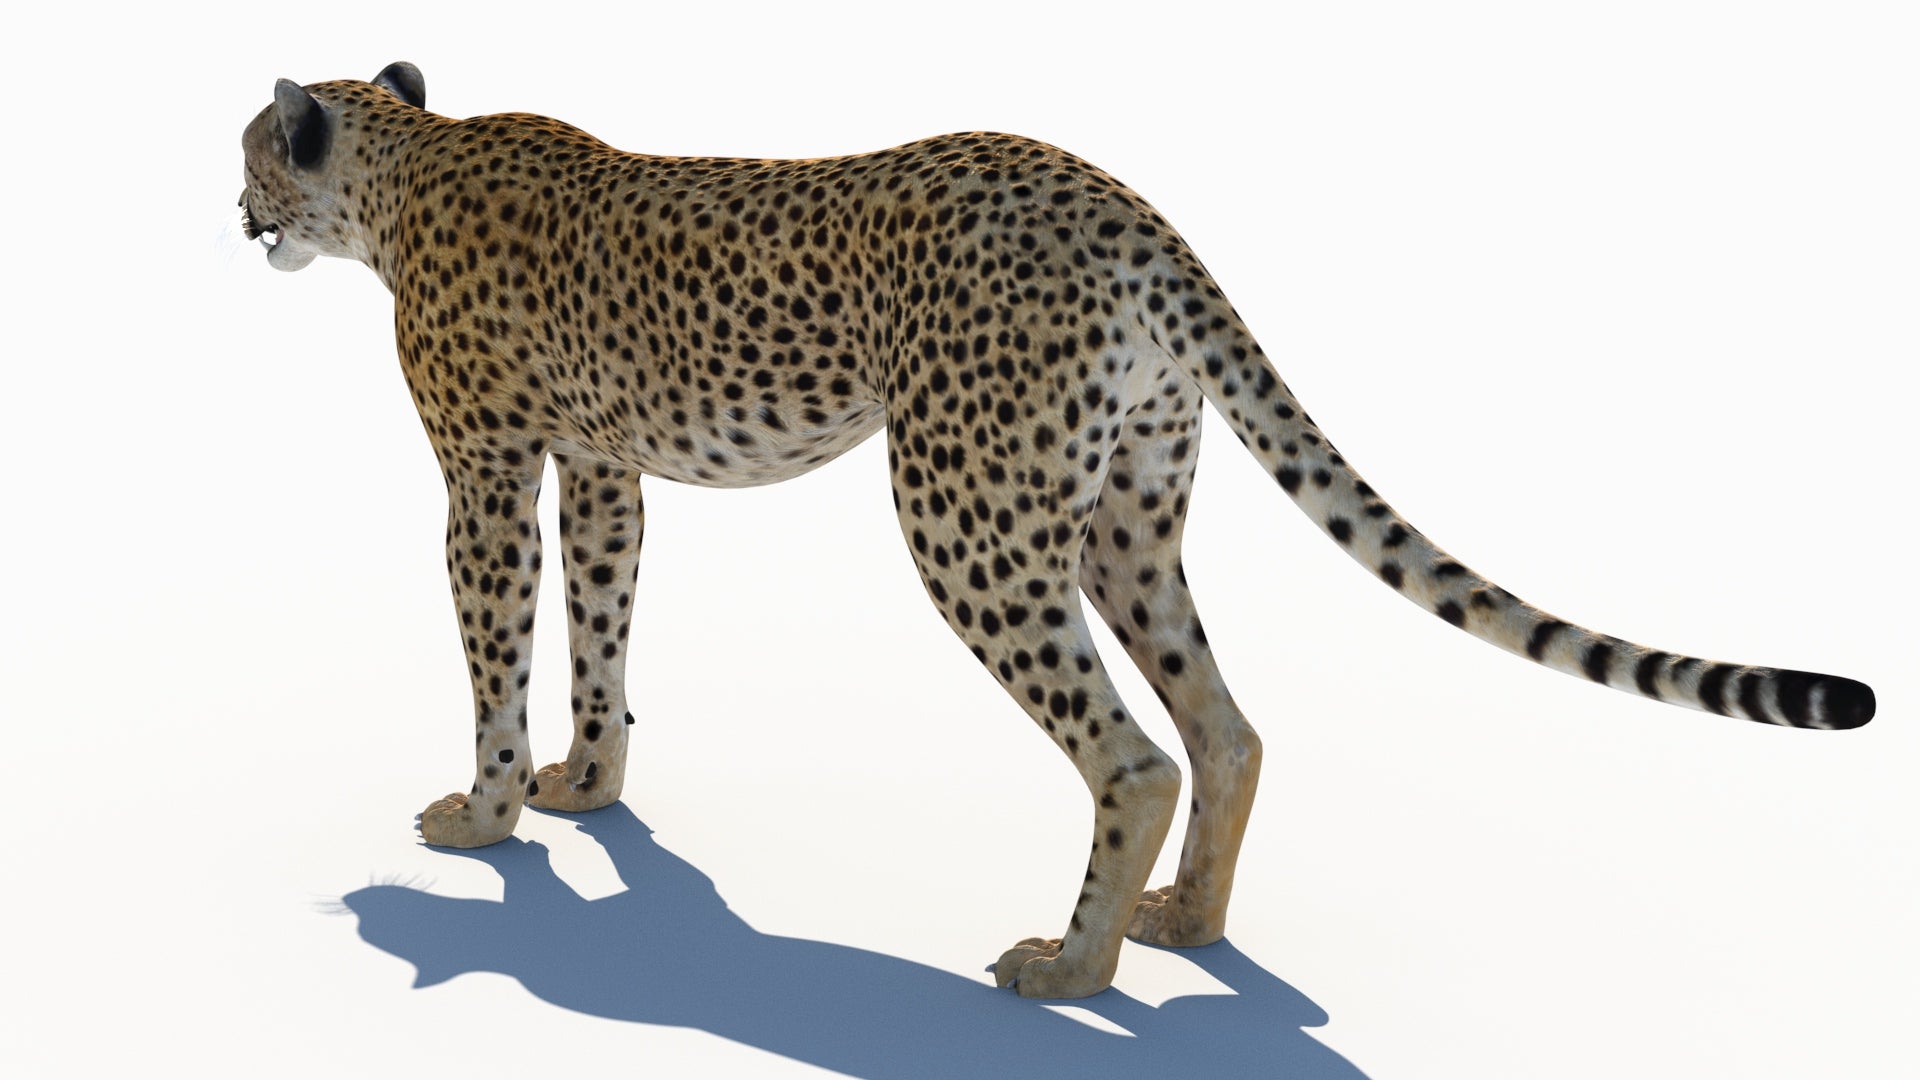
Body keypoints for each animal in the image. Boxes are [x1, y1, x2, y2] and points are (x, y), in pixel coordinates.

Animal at [238, 63, 1875, 1000]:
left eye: (254, 156)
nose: (237, 216)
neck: (404, 163)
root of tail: (1111, 196)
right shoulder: (605, 471)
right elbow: (602, 627)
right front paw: (587, 787)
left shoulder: (490, 477)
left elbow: (496, 649)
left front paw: (488, 815)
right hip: (1123, 513)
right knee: (1224, 727)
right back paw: (1188, 924)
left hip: (964, 509)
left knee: (1135, 755)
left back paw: (1073, 965)